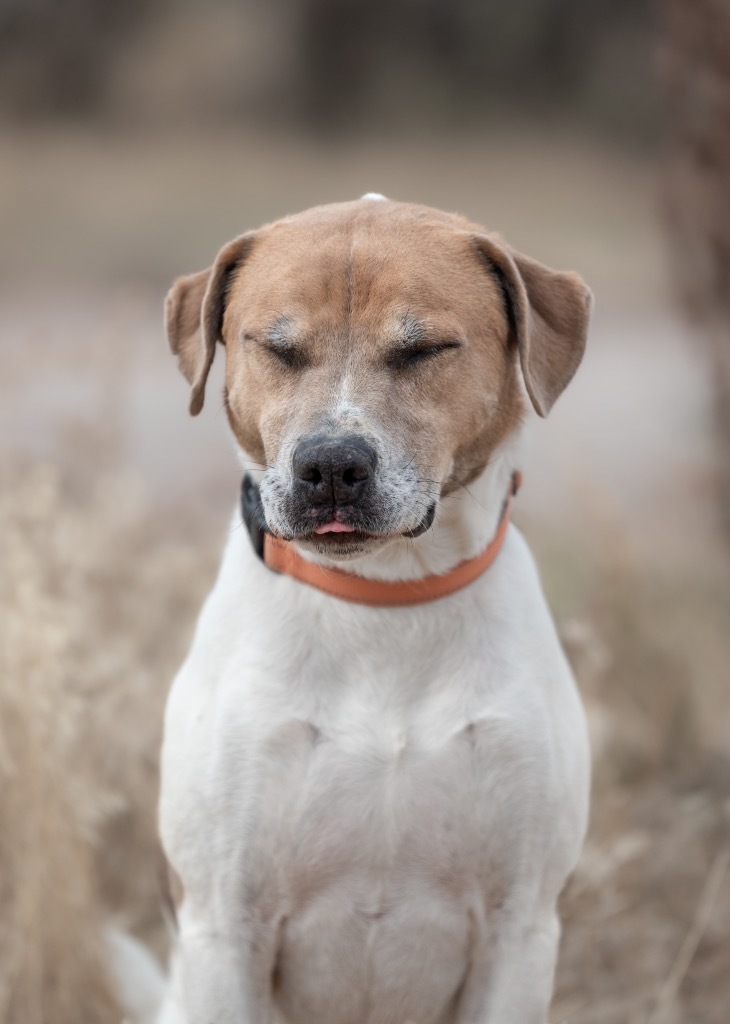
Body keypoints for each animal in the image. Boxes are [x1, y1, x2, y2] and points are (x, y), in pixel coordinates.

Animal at [156, 193, 589, 1024]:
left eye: (423, 351)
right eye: (278, 348)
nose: (330, 465)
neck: (386, 600)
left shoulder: (521, 928)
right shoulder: (224, 926)